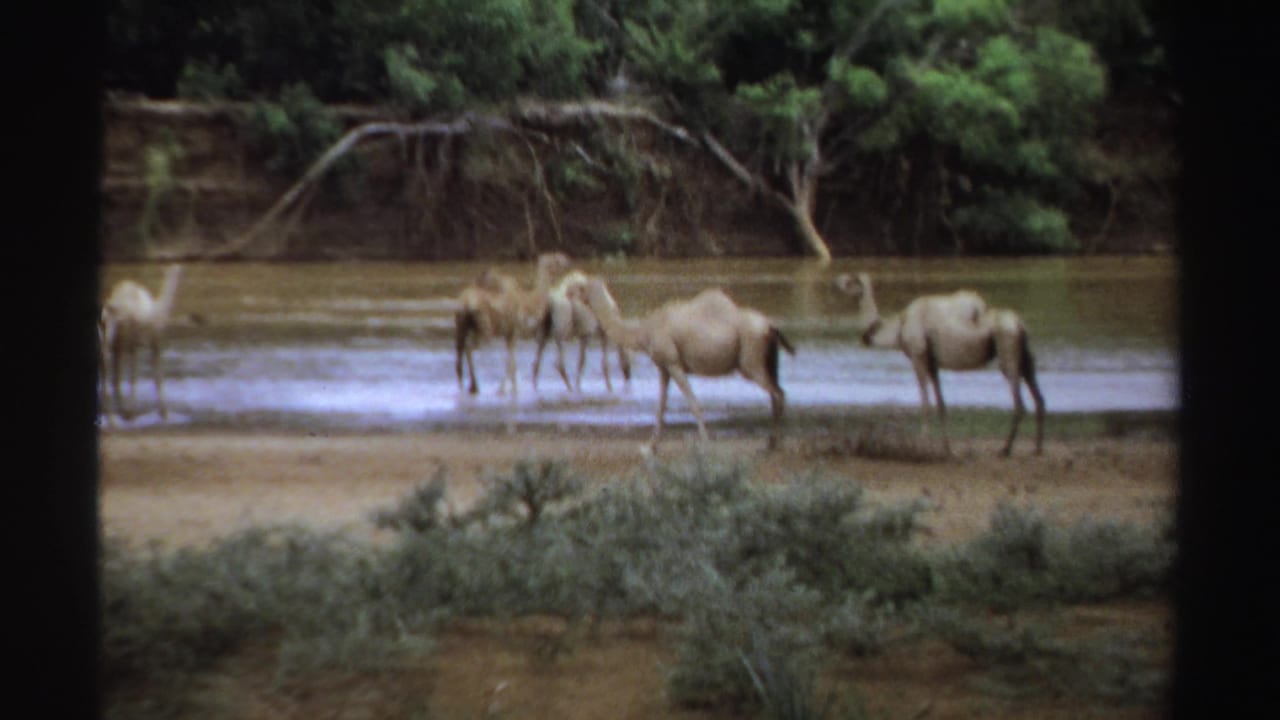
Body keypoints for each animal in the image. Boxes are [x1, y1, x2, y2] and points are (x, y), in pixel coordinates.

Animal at [99, 264, 184, 423]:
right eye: (177, 270)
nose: (179, 272)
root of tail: (107, 308)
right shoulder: (149, 342)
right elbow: (142, 378)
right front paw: (139, 413)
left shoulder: (148, 343)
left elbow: (155, 378)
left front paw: (162, 413)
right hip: (118, 333)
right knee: (108, 359)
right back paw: (115, 415)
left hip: (114, 337)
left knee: (109, 364)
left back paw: (116, 412)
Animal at [454, 252, 573, 396]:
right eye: (556, 259)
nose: (568, 262)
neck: (527, 302)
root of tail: (465, 303)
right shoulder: (514, 330)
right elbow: (512, 363)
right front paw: (506, 390)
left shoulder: (508, 333)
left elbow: (511, 363)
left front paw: (507, 388)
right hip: (484, 327)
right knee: (469, 347)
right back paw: (474, 386)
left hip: (461, 324)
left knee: (460, 351)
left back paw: (465, 386)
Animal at [572, 277, 795, 451]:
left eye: (580, 287)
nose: (568, 292)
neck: (644, 332)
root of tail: (770, 326)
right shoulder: (663, 368)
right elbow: (661, 407)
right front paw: (650, 446)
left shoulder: (673, 362)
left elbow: (693, 404)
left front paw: (705, 441)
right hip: (768, 360)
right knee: (777, 393)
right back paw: (773, 441)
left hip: (750, 361)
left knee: (778, 394)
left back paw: (773, 442)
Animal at [833, 272, 1045, 456]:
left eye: (851, 280)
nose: (836, 281)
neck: (898, 328)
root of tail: (1020, 325)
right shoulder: (932, 363)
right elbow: (941, 404)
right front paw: (947, 449)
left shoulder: (918, 355)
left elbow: (925, 402)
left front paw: (920, 445)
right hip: (1024, 358)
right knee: (1038, 397)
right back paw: (1037, 448)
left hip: (1006, 348)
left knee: (1019, 403)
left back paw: (1005, 449)